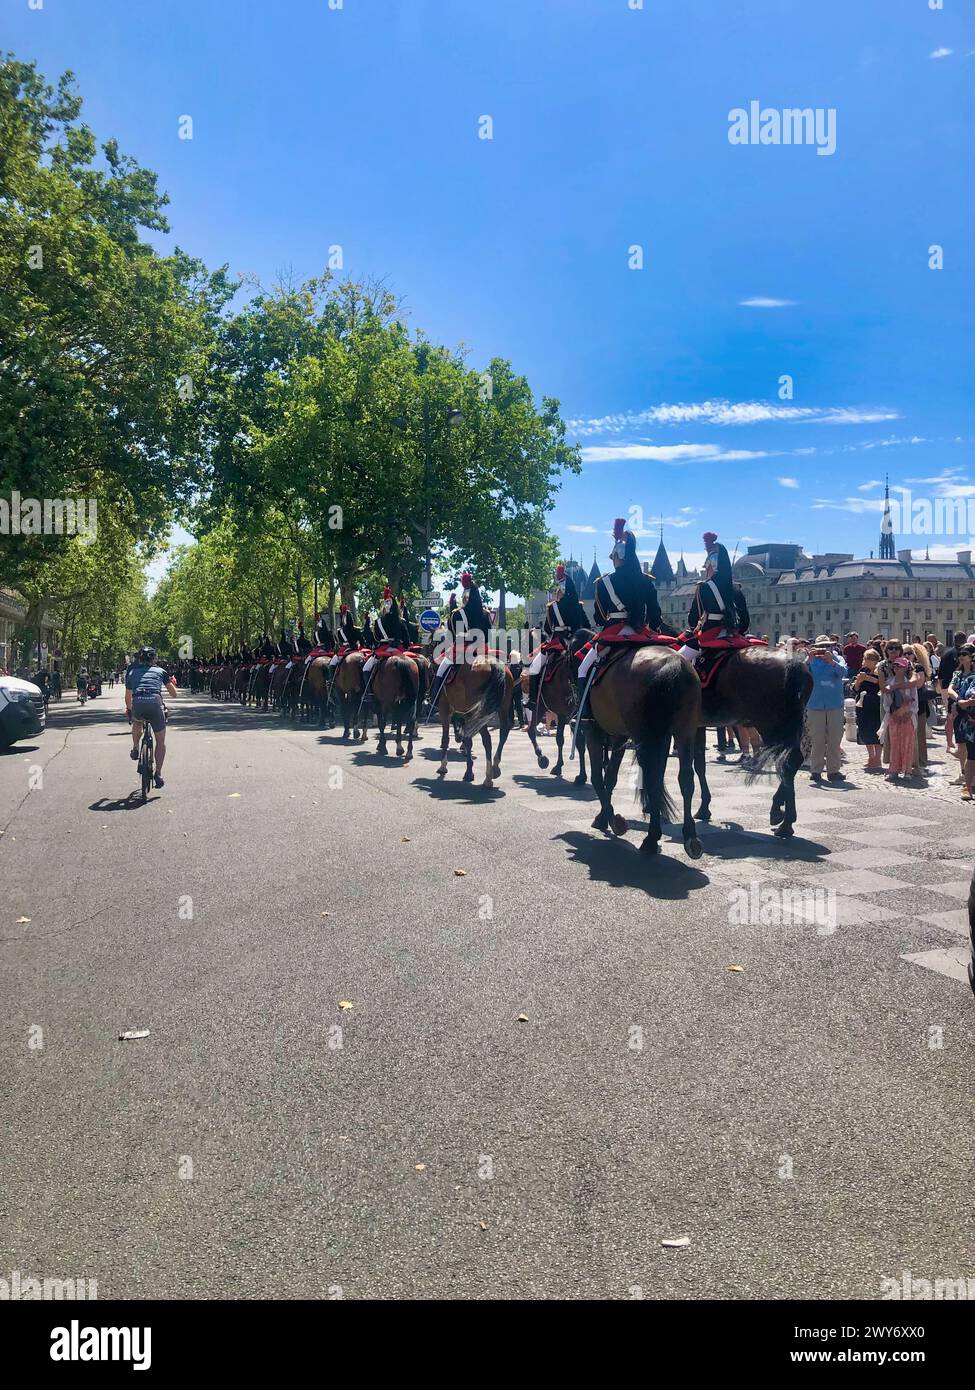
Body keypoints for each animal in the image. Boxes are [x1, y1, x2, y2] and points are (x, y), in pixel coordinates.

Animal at [431, 653, 509, 789]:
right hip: (501, 708)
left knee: (485, 738)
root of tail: (492, 663)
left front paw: (444, 766)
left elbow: (447, 738)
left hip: (477, 711)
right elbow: (467, 740)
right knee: (503, 732)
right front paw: (469, 770)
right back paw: (494, 769)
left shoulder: (444, 710)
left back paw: (487, 777)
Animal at [581, 639, 703, 856]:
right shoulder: (623, 736)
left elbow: (597, 777)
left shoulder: (593, 731)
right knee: (685, 778)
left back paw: (651, 839)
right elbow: (610, 776)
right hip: (684, 731)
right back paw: (690, 837)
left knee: (651, 779)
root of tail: (674, 666)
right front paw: (605, 817)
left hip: (644, 735)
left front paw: (613, 821)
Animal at [687, 647, 812, 834]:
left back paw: (783, 821)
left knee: (789, 762)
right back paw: (782, 815)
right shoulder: (697, 726)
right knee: (793, 761)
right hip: (790, 727)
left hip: (771, 726)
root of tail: (793, 662)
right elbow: (700, 765)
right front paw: (704, 807)